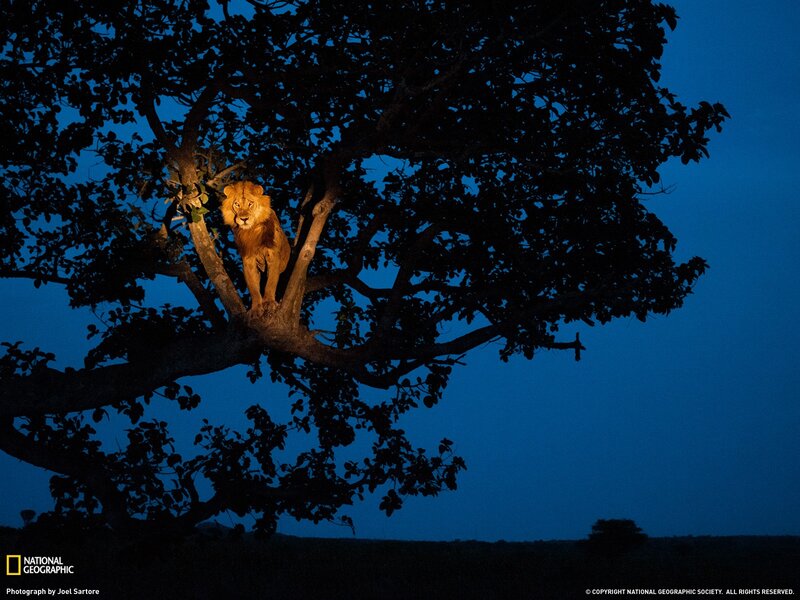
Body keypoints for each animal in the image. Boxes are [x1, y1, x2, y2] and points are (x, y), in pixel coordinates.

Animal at [220, 181, 291, 311]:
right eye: (237, 204)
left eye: (250, 204)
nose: (244, 219)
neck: (251, 231)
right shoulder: (248, 259)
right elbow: (253, 286)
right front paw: (256, 308)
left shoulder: (273, 254)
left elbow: (271, 281)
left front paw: (269, 302)